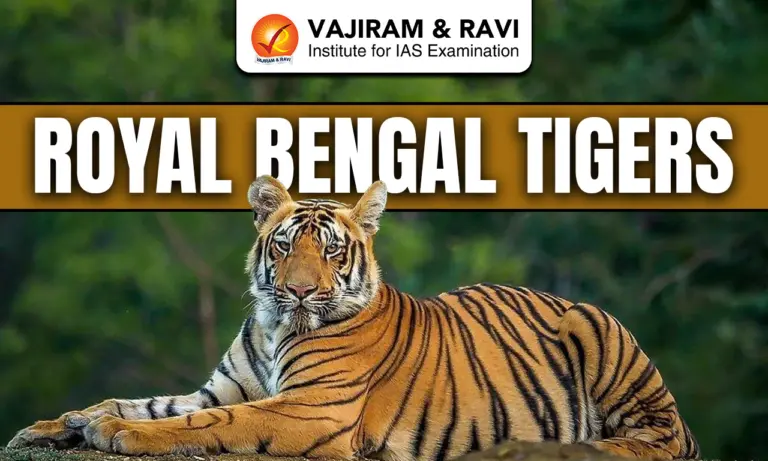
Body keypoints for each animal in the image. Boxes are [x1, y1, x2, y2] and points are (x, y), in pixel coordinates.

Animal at [8, 175, 700, 461]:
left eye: (333, 251)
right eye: (285, 246)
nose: (299, 291)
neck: (274, 325)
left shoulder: (310, 408)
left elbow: (206, 422)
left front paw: (117, 436)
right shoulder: (223, 386)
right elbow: (140, 401)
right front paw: (60, 424)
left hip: (599, 333)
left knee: (659, 440)